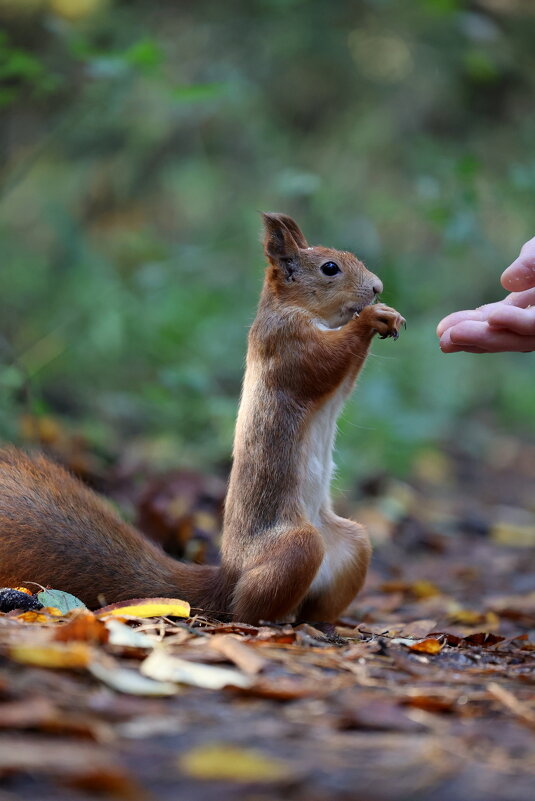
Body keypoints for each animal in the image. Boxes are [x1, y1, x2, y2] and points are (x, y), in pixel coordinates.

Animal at [0, 216, 404, 620]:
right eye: (330, 268)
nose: (377, 287)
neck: (306, 313)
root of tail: (227, 577)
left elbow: (344, 379)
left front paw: (389, 315)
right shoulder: (286, 345)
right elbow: (323, 364)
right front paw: (372, 317)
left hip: (353, 544)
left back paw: (321, 626)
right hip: (296, 546)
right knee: (248, 607)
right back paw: (274, 622)